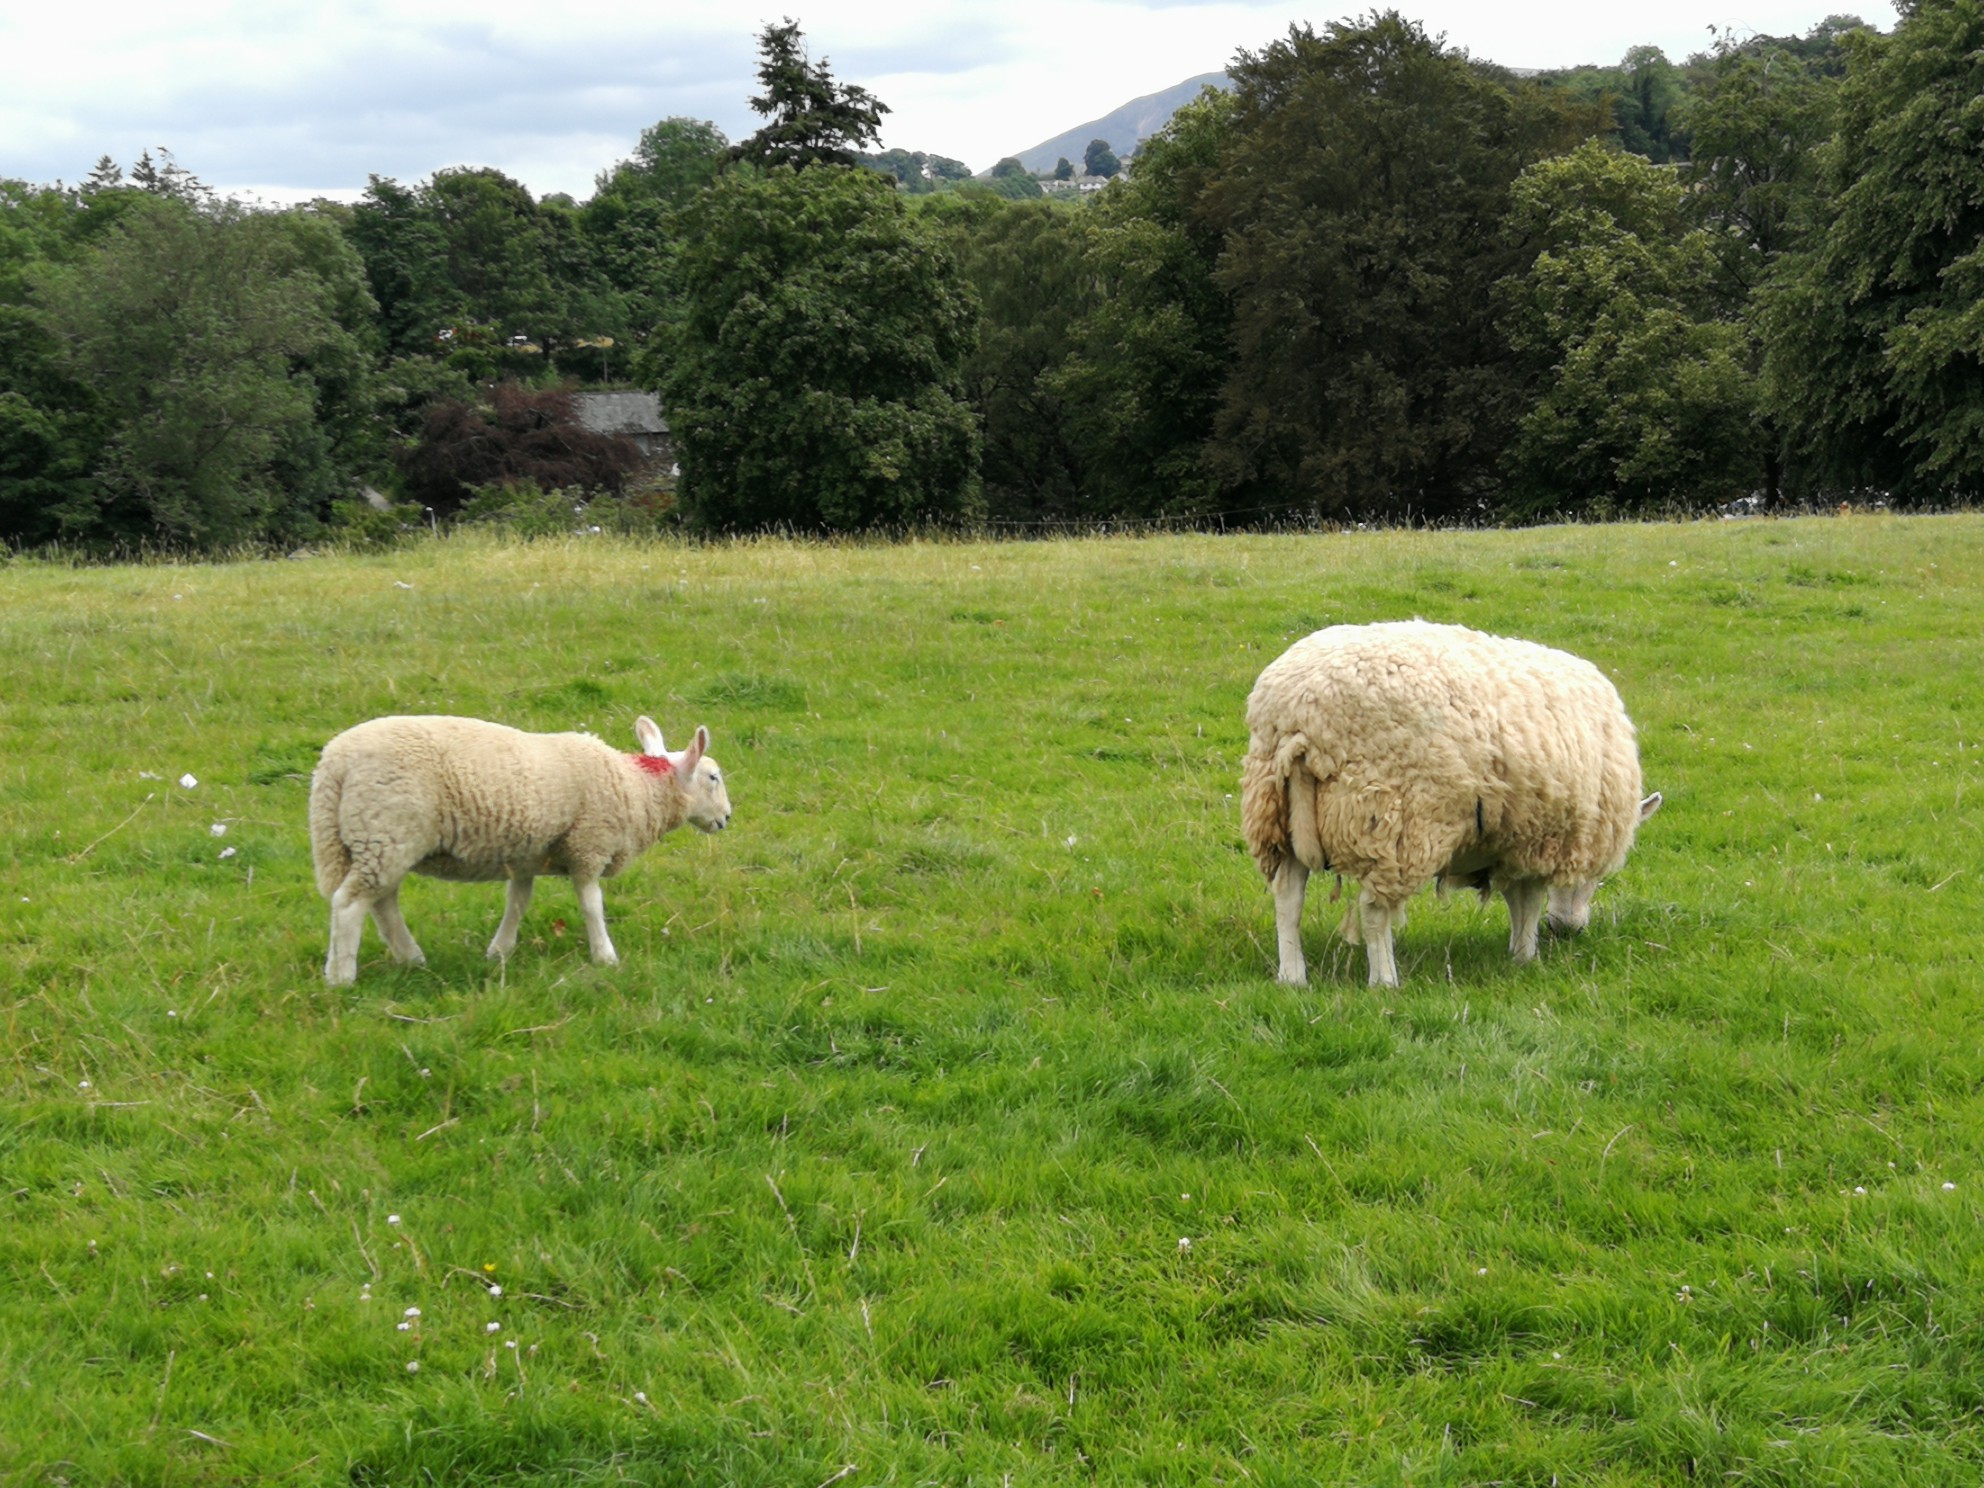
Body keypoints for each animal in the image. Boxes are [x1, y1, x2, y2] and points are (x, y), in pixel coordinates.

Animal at [313, 714, 734, 992]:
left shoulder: (526, 856)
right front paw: (605, 956)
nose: (726, 818)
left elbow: (518, 902)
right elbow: (591, 905)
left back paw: (410, 958)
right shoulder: (588, 846)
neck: (636, 787)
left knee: (382, 903)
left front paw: (499, 951)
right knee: (350, 903)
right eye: (713, 778)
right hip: (387, 832)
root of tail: (334, 764)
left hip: (377, 840)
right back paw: (341, 977)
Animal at [1238, 619, 1658, 992]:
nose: (1567, 930)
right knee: (1374, 910)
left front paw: (1517, 952)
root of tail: (1300, 714)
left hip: (1275, 811)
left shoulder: (1512, 837)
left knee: (1287, 897)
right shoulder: (1540, 839)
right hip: (1392, 819)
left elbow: (1515, 898)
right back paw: (1384, 981)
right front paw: (1527, 954)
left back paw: (1292, 977)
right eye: (1597, 879)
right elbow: (1529, 900)